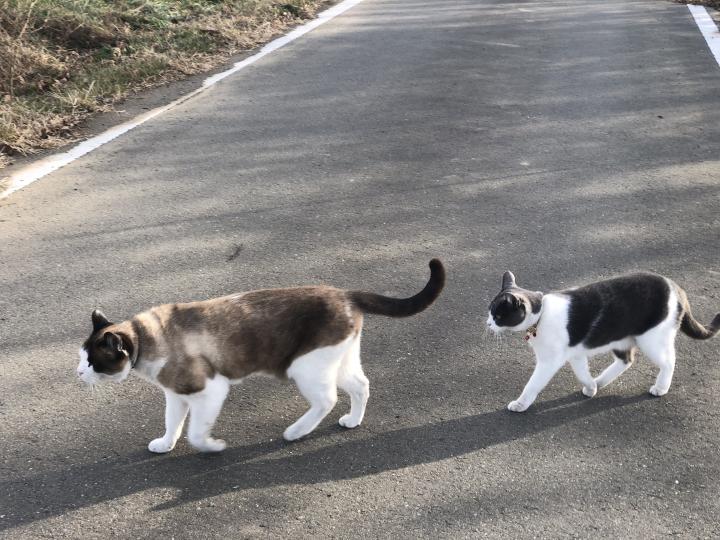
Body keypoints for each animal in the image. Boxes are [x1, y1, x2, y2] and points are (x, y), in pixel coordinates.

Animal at [77, 259, 445, 452]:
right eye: (82, 358)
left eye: (92, 361)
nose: (78, 373)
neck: (146, 338)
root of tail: (345, 294)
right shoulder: (176, 396)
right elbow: (172, 424)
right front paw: (165, 444)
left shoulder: (211, 391)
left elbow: (196, 433)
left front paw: (213, 446)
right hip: (338, 360)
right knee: (360, 386)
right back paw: (352, 421)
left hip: (304, 368)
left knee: (326, 400)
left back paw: (295, 432)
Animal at [487, 271, 720, 412]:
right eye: (490, 312)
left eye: (498, 316)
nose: (488, 324)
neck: (541, 315)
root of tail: (676, 288)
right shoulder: (576, 354)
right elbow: (582, 373)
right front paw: (591, 387)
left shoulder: (549, 361)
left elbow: (533, 384)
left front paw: (520, 404)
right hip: (620, 339)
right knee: (626, 360)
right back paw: (599, 381)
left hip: (652, 339)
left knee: (669, 361)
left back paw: (661, 387)